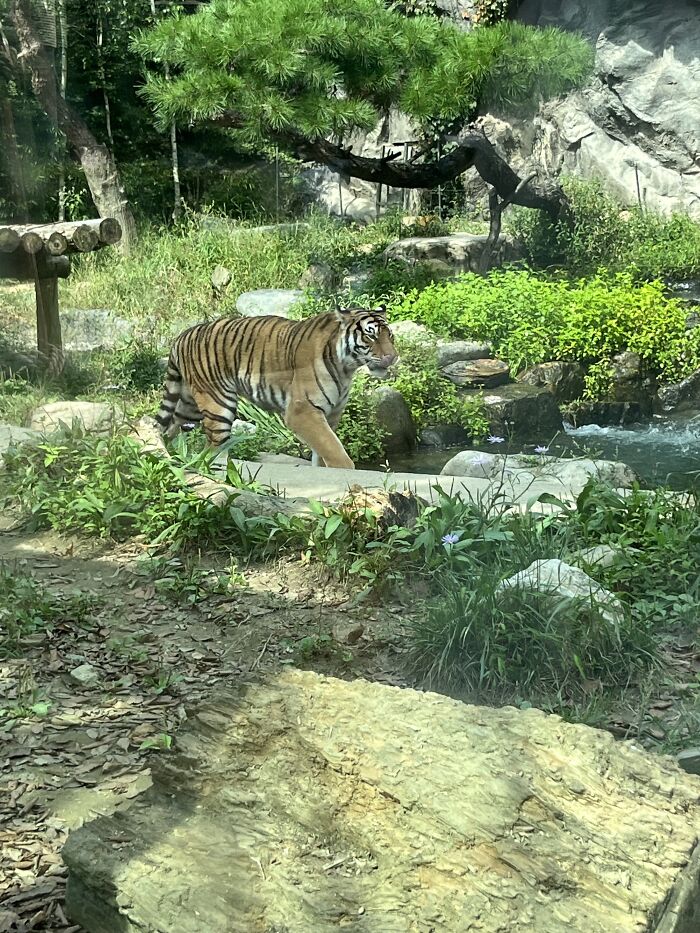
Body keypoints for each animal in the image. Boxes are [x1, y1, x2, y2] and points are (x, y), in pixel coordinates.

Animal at [155, 306, 398, 469]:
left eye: (390, 335)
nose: (392, 357)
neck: (346, 368)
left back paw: (170, 457)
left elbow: (322, 453)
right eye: (370, 335)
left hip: (189, 405)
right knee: (213, 448)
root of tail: (181, 336)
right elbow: (335, 452)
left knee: (171, 429)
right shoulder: (302, 411)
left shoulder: (330, 416)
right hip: (218, 405)